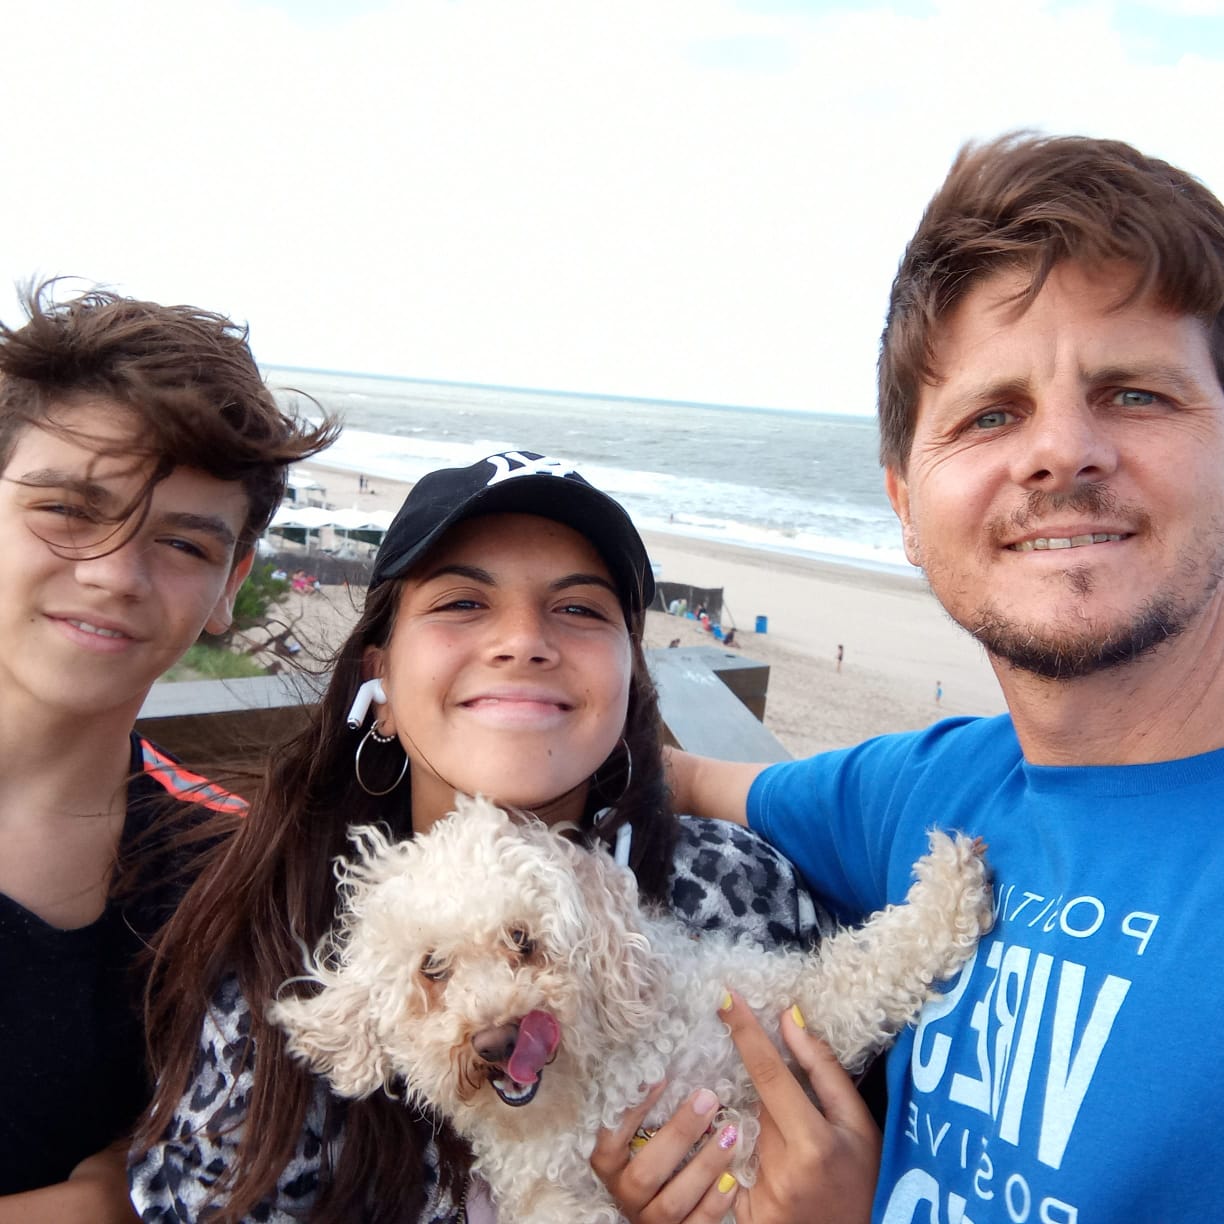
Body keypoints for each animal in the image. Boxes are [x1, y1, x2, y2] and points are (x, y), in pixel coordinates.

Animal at [270, 795, 992, 1223]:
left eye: (522, 939)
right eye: (433, 969)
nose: (500, 1041)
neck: (600, 1093)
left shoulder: (780, 1010)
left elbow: (865, 970)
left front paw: (951, 885)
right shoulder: (555, 1194)